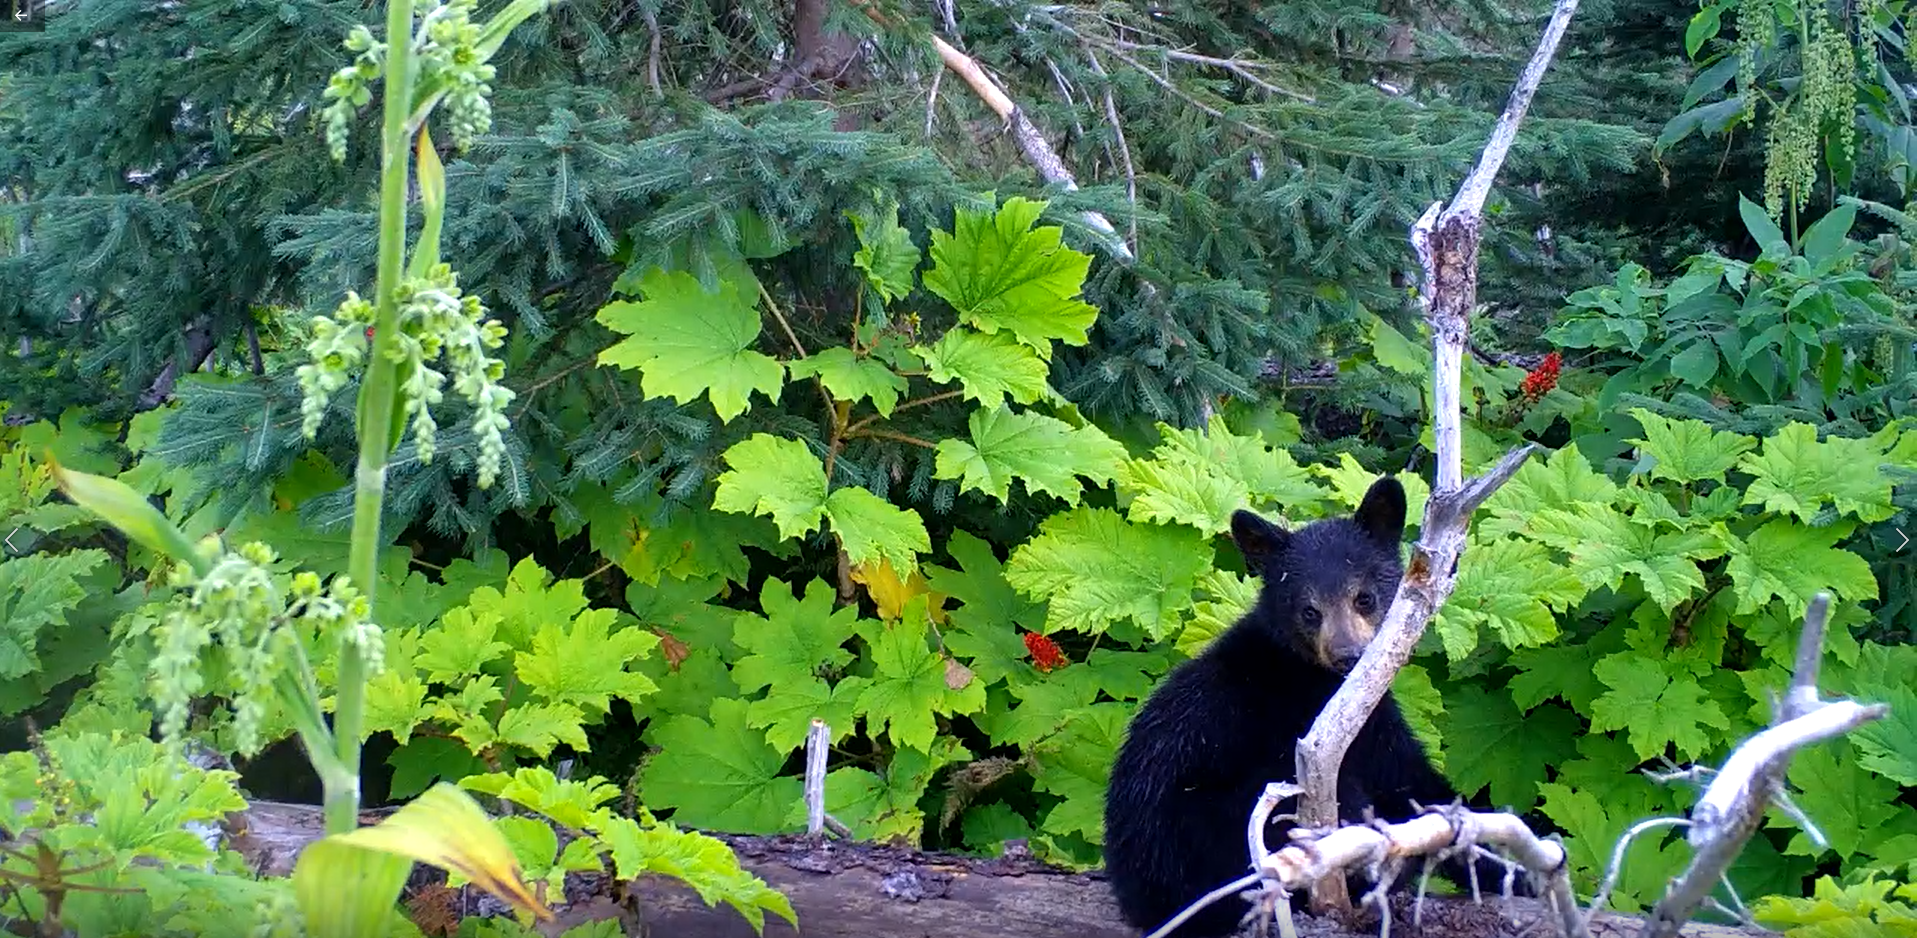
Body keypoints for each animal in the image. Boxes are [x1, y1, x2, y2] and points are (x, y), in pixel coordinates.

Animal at [1102, 476, 1518, 938]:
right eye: (1309, 610)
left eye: (1364, 598)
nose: (1347, 656)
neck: (1311, 674)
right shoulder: (1325, 720)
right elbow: (1397, 782)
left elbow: (1412, 786)